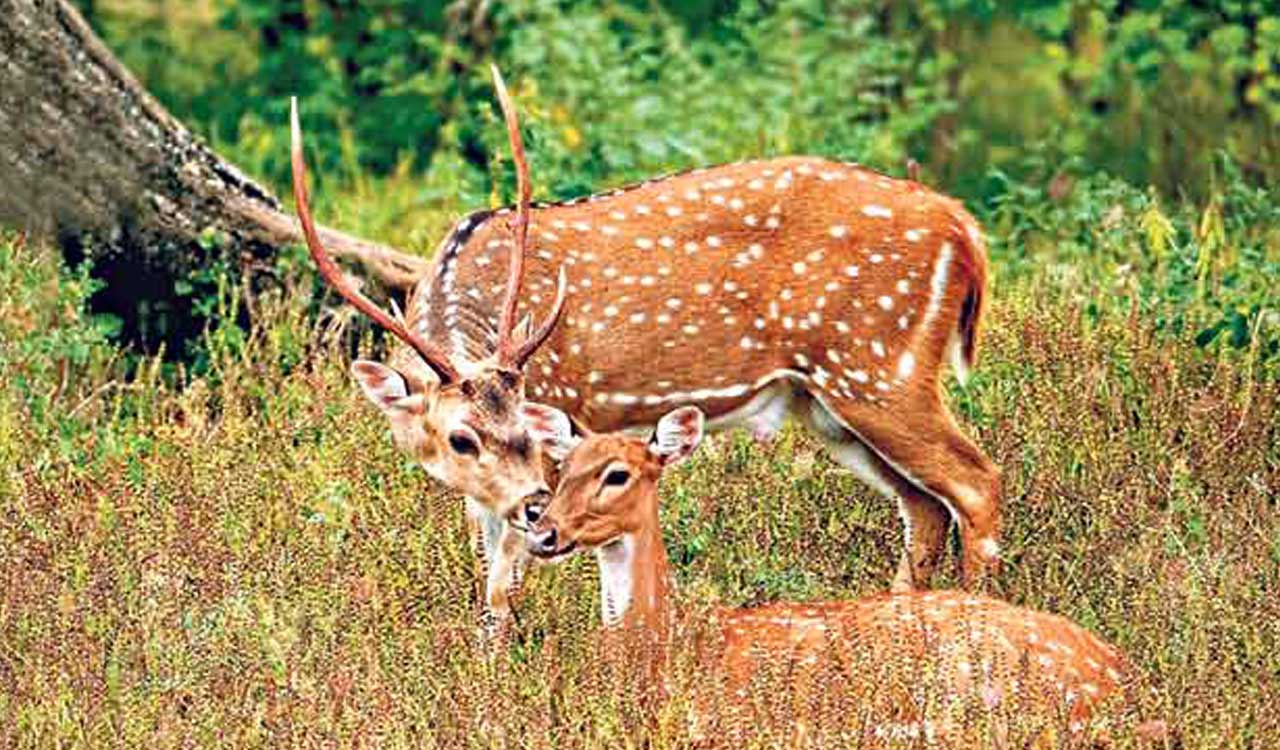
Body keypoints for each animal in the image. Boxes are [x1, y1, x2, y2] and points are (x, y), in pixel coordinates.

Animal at [294, 68, 1000, 633]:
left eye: (531, 424)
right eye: (460, 439)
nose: (536, 505)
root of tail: (964, 228)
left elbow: (504, 586)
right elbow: (487, 581)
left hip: (879, 363)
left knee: (975, 483)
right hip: (829, 402)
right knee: (924, 506)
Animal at [519, 406, 1167, 746]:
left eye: (618, 474)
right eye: (562, 465)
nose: (542, 529)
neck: (666, 646)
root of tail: (1126, 680)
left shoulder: (727, 721)